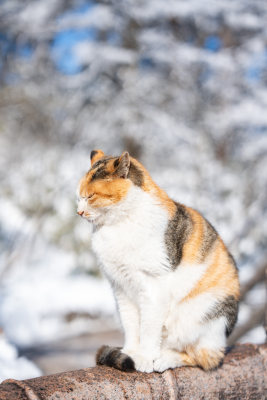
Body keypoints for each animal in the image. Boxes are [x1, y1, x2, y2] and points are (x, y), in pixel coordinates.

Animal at [76, 149, 240, 372]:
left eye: (91, 196)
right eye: (78, 197)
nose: (79, 212)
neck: (117, 226)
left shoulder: (153, 288)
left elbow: (148, 328)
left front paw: (145, 358)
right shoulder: (121, 288)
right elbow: (131, 325)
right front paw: (130, 352)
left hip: (202, 316)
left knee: (205, 358)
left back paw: (164, 358)